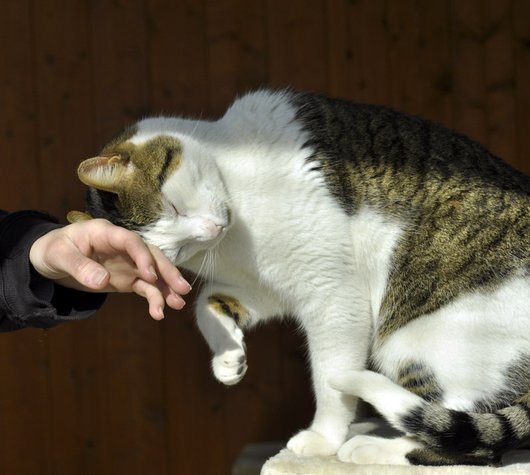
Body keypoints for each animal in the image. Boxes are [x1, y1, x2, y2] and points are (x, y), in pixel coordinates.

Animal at [69, 88, 528, 464]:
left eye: (175, 208)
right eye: (175, 251)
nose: (211, 231)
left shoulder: (332, 292)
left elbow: (330, 379)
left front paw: (322, 438)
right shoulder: (268, 286)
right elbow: (205, 302)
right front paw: (228, 359)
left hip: (416, 341)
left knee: (468, 440)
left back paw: (368, 448)